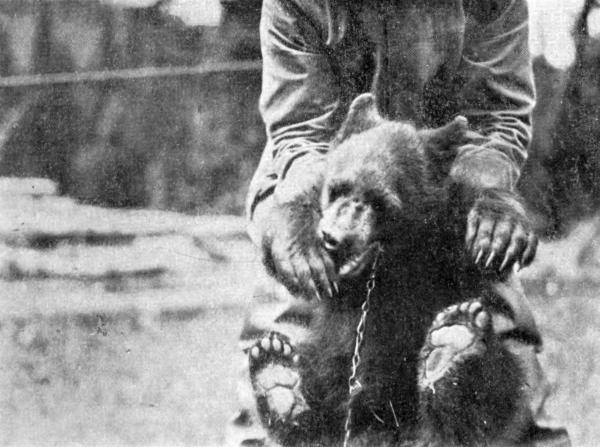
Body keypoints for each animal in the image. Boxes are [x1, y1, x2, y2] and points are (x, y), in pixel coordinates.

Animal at [249, 93, 538, 447]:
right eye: (337, 188)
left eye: (381, 202)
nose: (334, 238)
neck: (388, 264)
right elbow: (286, 216)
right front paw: (302, 255)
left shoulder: (449, 226)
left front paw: (499, 230)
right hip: (326, 365)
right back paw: (278, 375)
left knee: (494, 390)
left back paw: (455, 344)